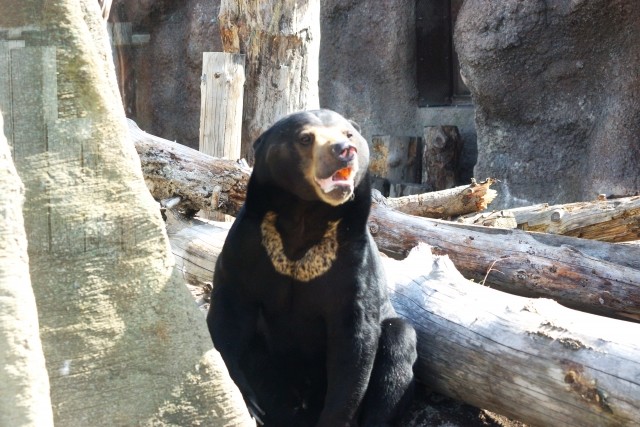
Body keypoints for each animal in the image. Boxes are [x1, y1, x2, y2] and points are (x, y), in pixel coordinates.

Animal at [208, 108, 418, 426]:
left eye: (348, 134)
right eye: (305, 138)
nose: (345, 151)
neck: (305, 216)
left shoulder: (352, 263)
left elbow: (355, 344)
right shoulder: (247, 248)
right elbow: (229, 315)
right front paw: (250, 403)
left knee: (398, 345)